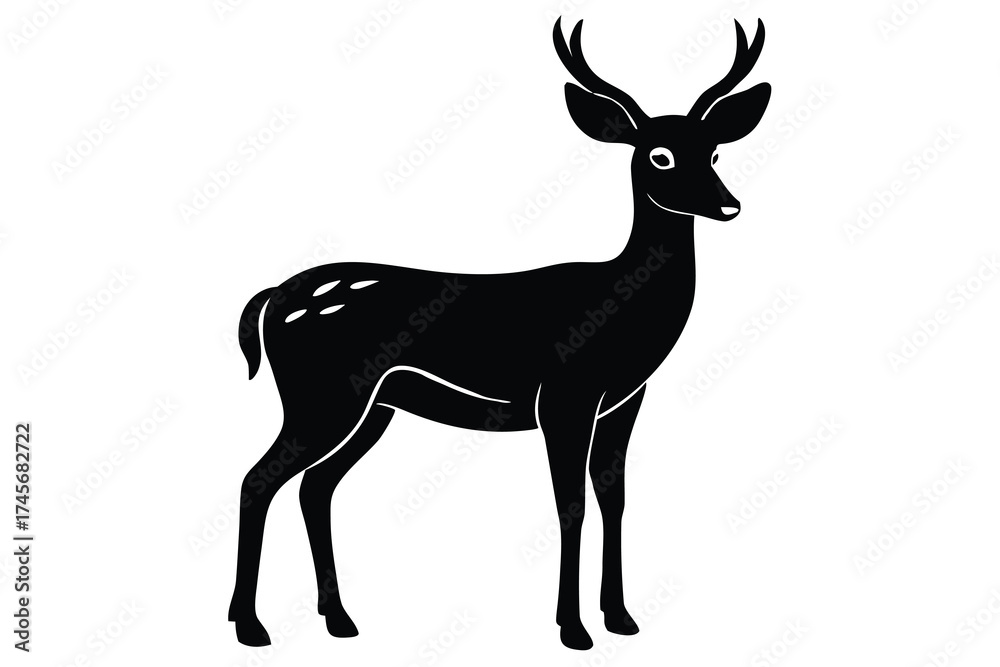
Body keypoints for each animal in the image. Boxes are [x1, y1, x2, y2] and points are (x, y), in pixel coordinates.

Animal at [229, 16, 770, 651]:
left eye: (714, 149)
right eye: (658, 155)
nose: (729, 205)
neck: (622, 310)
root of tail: (270, 299)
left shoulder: (625, 400)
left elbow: (613, 499)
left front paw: (621, 618)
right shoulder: (564, 395)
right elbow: (570, 505)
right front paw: (573, 629)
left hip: (373, 406)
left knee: (314, 487)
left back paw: (339, 620)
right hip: (321, 397)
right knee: (258, 480)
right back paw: (251, 626)